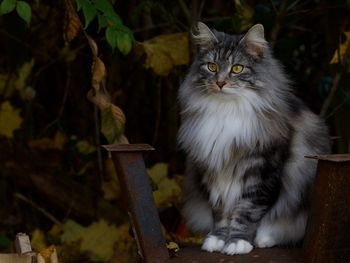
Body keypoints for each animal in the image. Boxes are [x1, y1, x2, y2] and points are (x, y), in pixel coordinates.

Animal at [178, 21, 330, 256]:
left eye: (237, 69)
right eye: (212, 67)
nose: (220, 83)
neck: (227, 111)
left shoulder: (262, 171)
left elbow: (247, 211)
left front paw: (238, 242)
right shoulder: (214, 171)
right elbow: (220, 213)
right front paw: (218, 239)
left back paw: (264, 238)